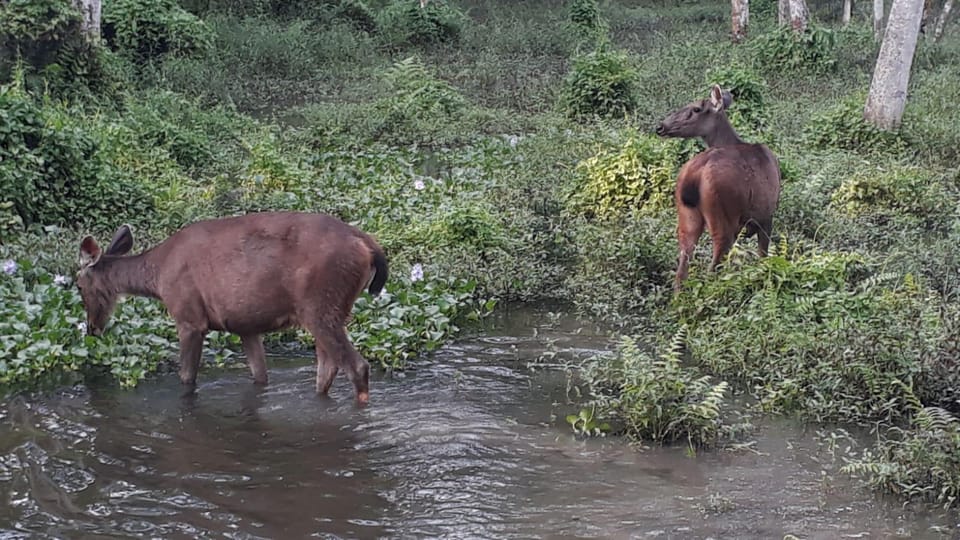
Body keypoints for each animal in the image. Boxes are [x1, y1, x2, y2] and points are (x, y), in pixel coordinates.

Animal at [77, 211, 388, 404]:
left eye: (78, 286)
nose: (92, 329)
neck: (157, 275)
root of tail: (369, 246)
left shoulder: (189, 316)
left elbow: (186, 377)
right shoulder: (245, 325)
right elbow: (260, 376)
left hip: (320, 304)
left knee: (357, 366)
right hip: (330, 309)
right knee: (327, 369)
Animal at [656, 83, 784, 292]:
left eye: (696, 108)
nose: (660, 126)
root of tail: (693, 175)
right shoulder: (766, 215)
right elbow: (763, 257)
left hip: (688, 217)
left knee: (682, 270)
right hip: (723, 216)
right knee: (713, 265)